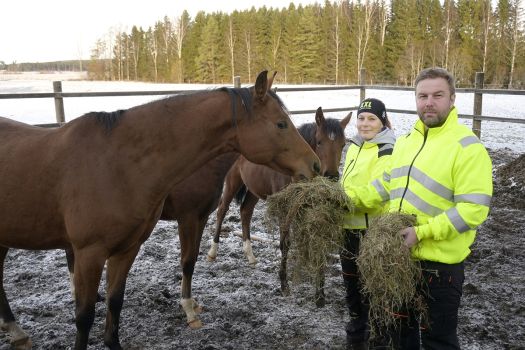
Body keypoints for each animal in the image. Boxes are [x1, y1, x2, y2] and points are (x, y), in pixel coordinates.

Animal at [0, 71, 320, 350]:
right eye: (281, 124)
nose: (315, 165)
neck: (116, 164)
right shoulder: (94, 251)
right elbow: (85, 316)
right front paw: (189, 309)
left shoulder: (129, 248)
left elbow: (116, 302)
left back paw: (16, 331)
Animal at [207, 106, 350, 306]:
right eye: (320, 142)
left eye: (343, 144)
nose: (331, 176)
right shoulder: (285, 210)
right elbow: (285, 244)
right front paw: (284, 284)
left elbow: (315, 243)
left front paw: (320, 295)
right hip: (232, 182)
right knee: (222, 210)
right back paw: (212, 252)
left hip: (254, 189)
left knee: (246, 212)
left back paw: (250, 256)